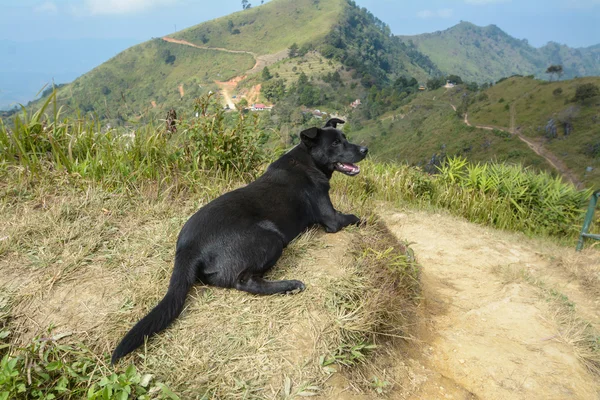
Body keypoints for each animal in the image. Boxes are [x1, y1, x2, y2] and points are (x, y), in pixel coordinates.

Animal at [110, 117, 368, 364]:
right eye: (335, 143)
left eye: (345, 137)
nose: (365, 149)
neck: (308, 160)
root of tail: (188, 247)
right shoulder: (332, 218)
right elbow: (355, 217)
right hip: (271, 238)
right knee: (245, 282)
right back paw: (290, 286)